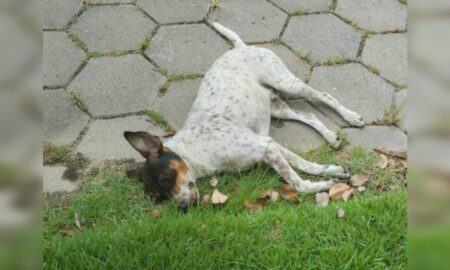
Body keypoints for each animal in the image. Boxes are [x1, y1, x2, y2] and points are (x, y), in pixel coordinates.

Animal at [124, 23, 366, 212]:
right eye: (160, 197)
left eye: (166, 178)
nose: (184, 208)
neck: (195, 151)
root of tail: (241, 48)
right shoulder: (269, 143)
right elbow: (304, 164)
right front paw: (332, 171)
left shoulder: (265, 147)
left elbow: (297, 183)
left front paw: (322, 186)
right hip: (277, 107)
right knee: (308, 115)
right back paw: (331, 137)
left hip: (285, 82)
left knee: (323, 95)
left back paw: (351, 117)